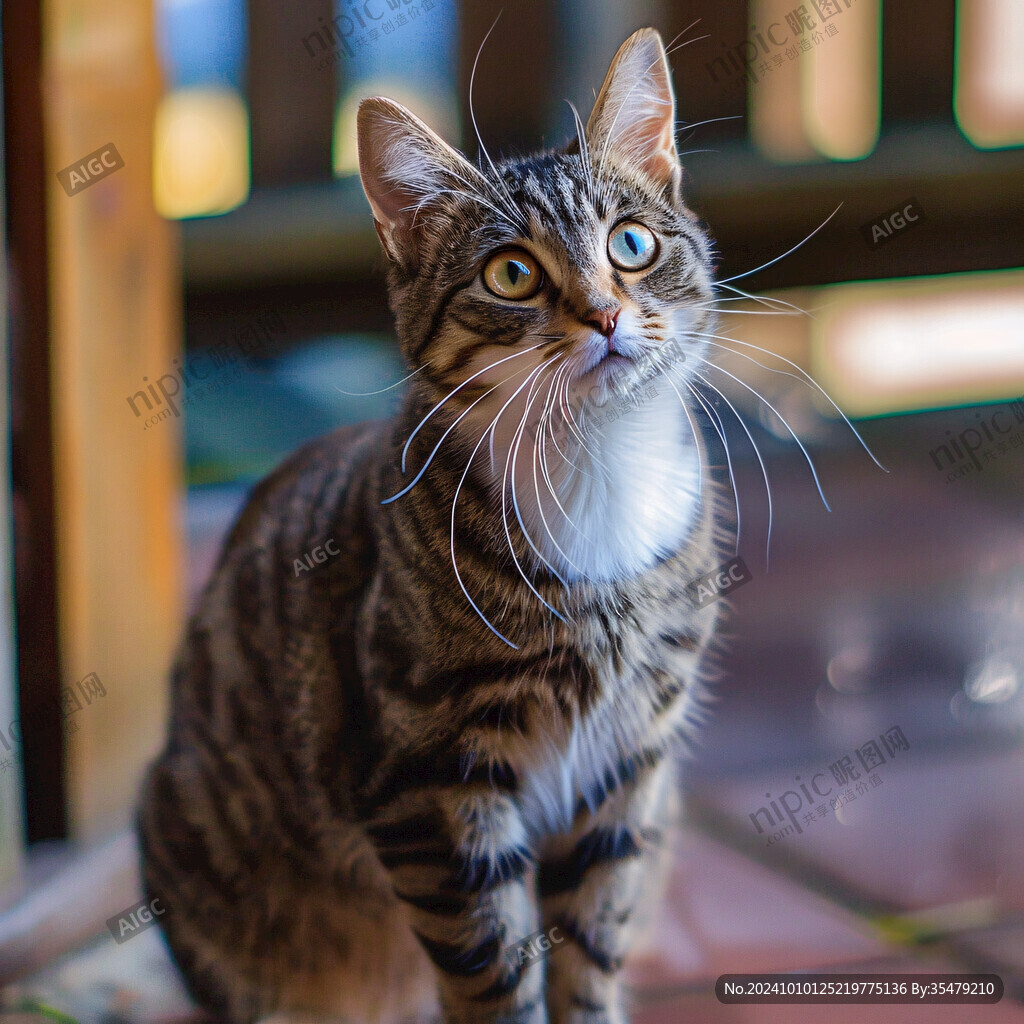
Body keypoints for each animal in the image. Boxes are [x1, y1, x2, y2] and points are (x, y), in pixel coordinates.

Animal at [136, 25, 733, 1024]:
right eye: (512, 273)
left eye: (633, 243)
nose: (608, 316)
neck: (597, 475)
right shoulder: (431, 787)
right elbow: (493, 966)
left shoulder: (628, 770)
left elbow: (590, 942)